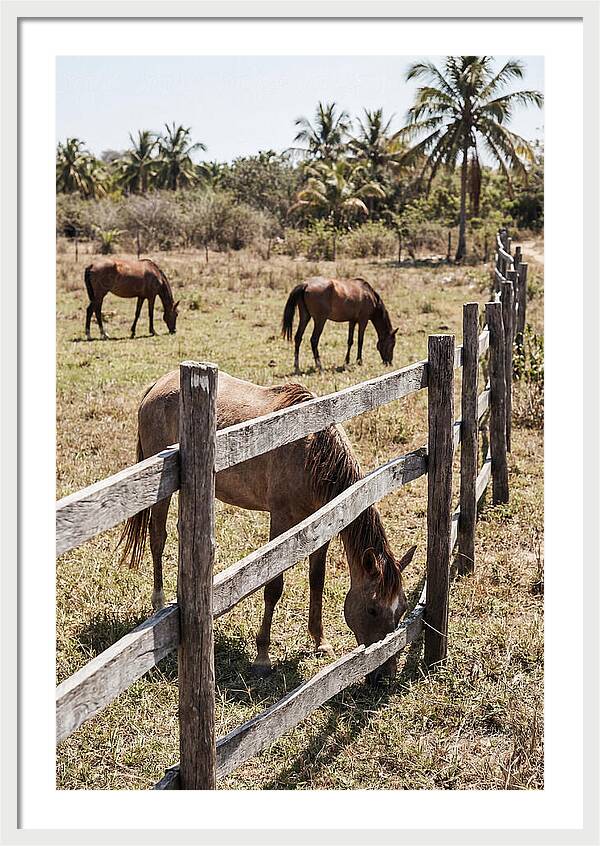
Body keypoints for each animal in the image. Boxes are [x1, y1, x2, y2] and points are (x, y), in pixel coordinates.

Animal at [119, 370, 416, 679]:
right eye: (372, 609)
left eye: (402, 609)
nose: (384, 674)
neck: (312, 452)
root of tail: (158, 385)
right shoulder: (281, 519)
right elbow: (273, 586)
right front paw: (262, 656)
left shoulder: (323, 522)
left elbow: (317, 580)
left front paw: (320, 641)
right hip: (160, 490)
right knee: (157, 538)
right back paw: (159, 603)